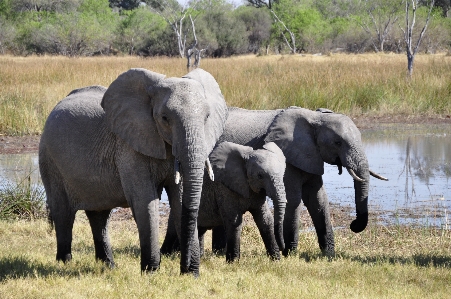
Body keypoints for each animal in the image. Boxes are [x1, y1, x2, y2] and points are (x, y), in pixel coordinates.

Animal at [38, 68, 228, 276]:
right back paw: (64, 263)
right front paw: (151, 272)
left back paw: (109, 266)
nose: (185, 268)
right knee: (63, 213)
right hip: (49, 159)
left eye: (207, 117)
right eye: (164, 118)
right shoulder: (129, 147)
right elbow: (145, 201)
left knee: (99, 215)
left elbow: (179, 200)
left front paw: (190, 275)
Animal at [161, 107, 386, 258]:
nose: (354, 225)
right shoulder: (290, 156)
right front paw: (290, 253)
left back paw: (217, 252)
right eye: (338, 142)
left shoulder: (311, 156)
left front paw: (329, 255)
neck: (315, 117)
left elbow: (318, 200)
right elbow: (294, 200)